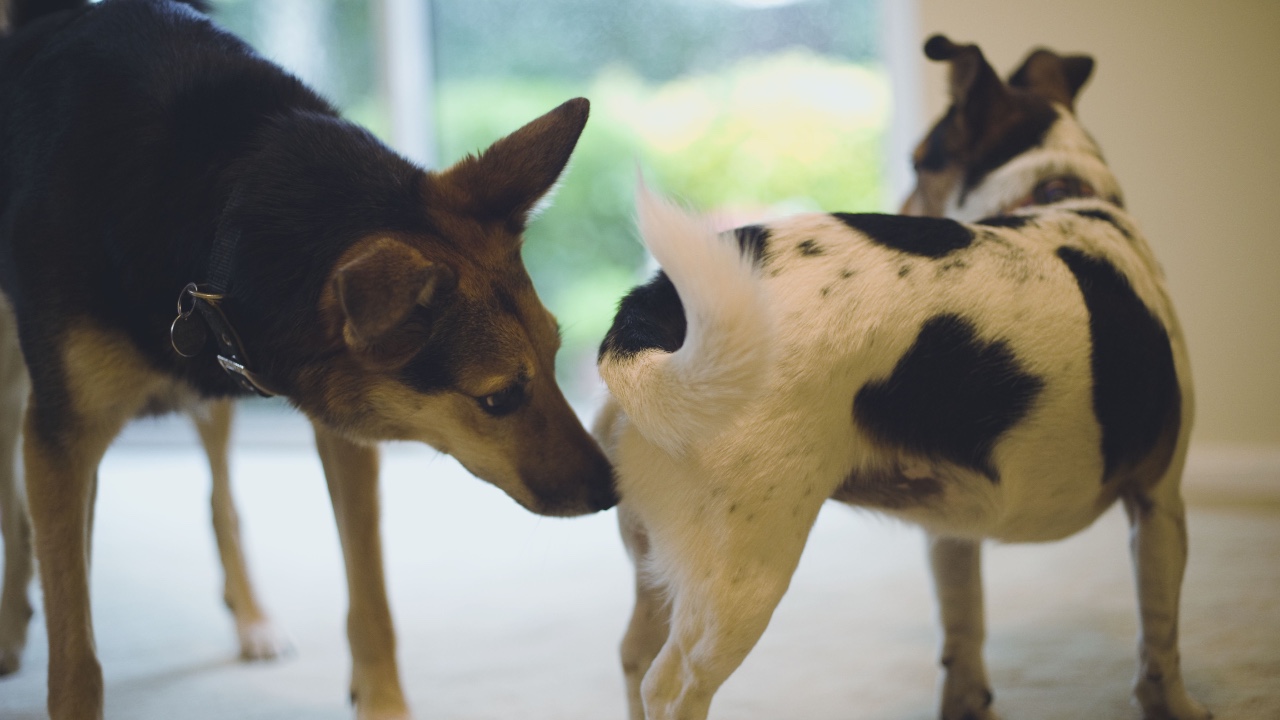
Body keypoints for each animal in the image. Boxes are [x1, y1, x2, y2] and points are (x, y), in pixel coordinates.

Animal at [0, 1, 614, 717]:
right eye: (498, 398)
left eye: (556, 359)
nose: (613, 490)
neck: (224, 203)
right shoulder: (63, 438)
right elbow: (75, 648)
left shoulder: (341, 422)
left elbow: (371, 598)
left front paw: (383, 701)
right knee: (22, 505)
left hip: (206, 394)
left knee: (221, 501)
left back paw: (252, 618)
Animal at [593, 35, 1203, 717]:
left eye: (917, 163)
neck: (1059, 196)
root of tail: (657, 305)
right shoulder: (1158, 502)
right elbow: (1160, 640)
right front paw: (1178, 707)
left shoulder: (950, 531)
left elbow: (963, 631)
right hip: (742, 572)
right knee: (670, 686)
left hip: (660, 559)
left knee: (633, 654)